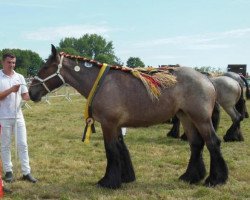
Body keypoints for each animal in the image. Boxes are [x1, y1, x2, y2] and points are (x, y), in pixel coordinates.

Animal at [28, 45, 228, 189]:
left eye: (45, 67)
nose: (31, 92)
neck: (100, 84)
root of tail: (207, 79)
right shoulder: (116, 125)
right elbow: (120, 148)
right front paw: (125, 177)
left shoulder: (108, 124)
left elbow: (111, 150)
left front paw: (108, 182)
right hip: (186, 117)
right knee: (196, 144)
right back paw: (190, 177)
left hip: (201, 119)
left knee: (212, 142)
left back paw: (216, 179)